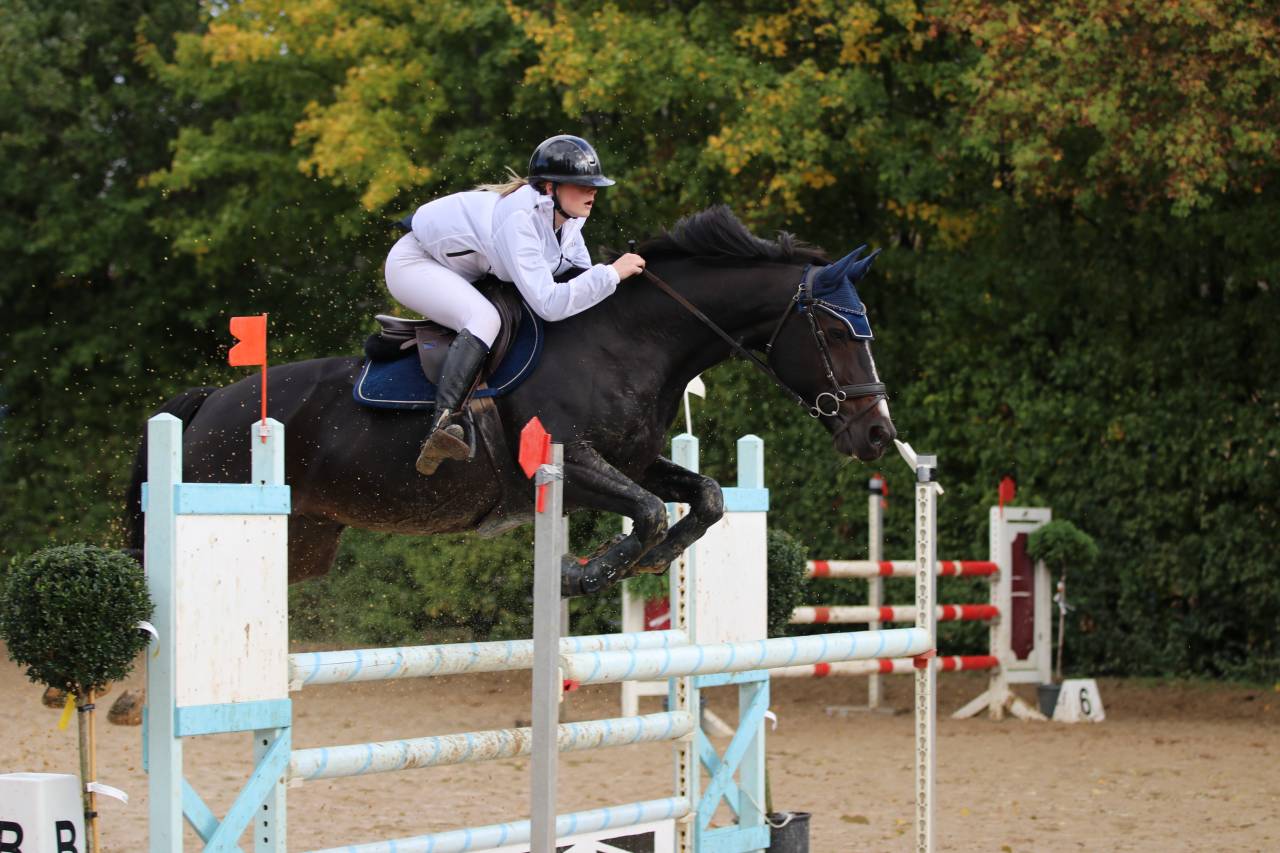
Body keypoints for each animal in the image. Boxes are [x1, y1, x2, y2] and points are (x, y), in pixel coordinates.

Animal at [125, 206, 897, 598]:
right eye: (836, 332)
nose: (878, 435)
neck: (629, 341)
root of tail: (209, 404)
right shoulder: (563, 466)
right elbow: (650, 511)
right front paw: (587, 571)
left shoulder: (634, 461)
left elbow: (700, 497)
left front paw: (640, 562)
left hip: (304, 540)